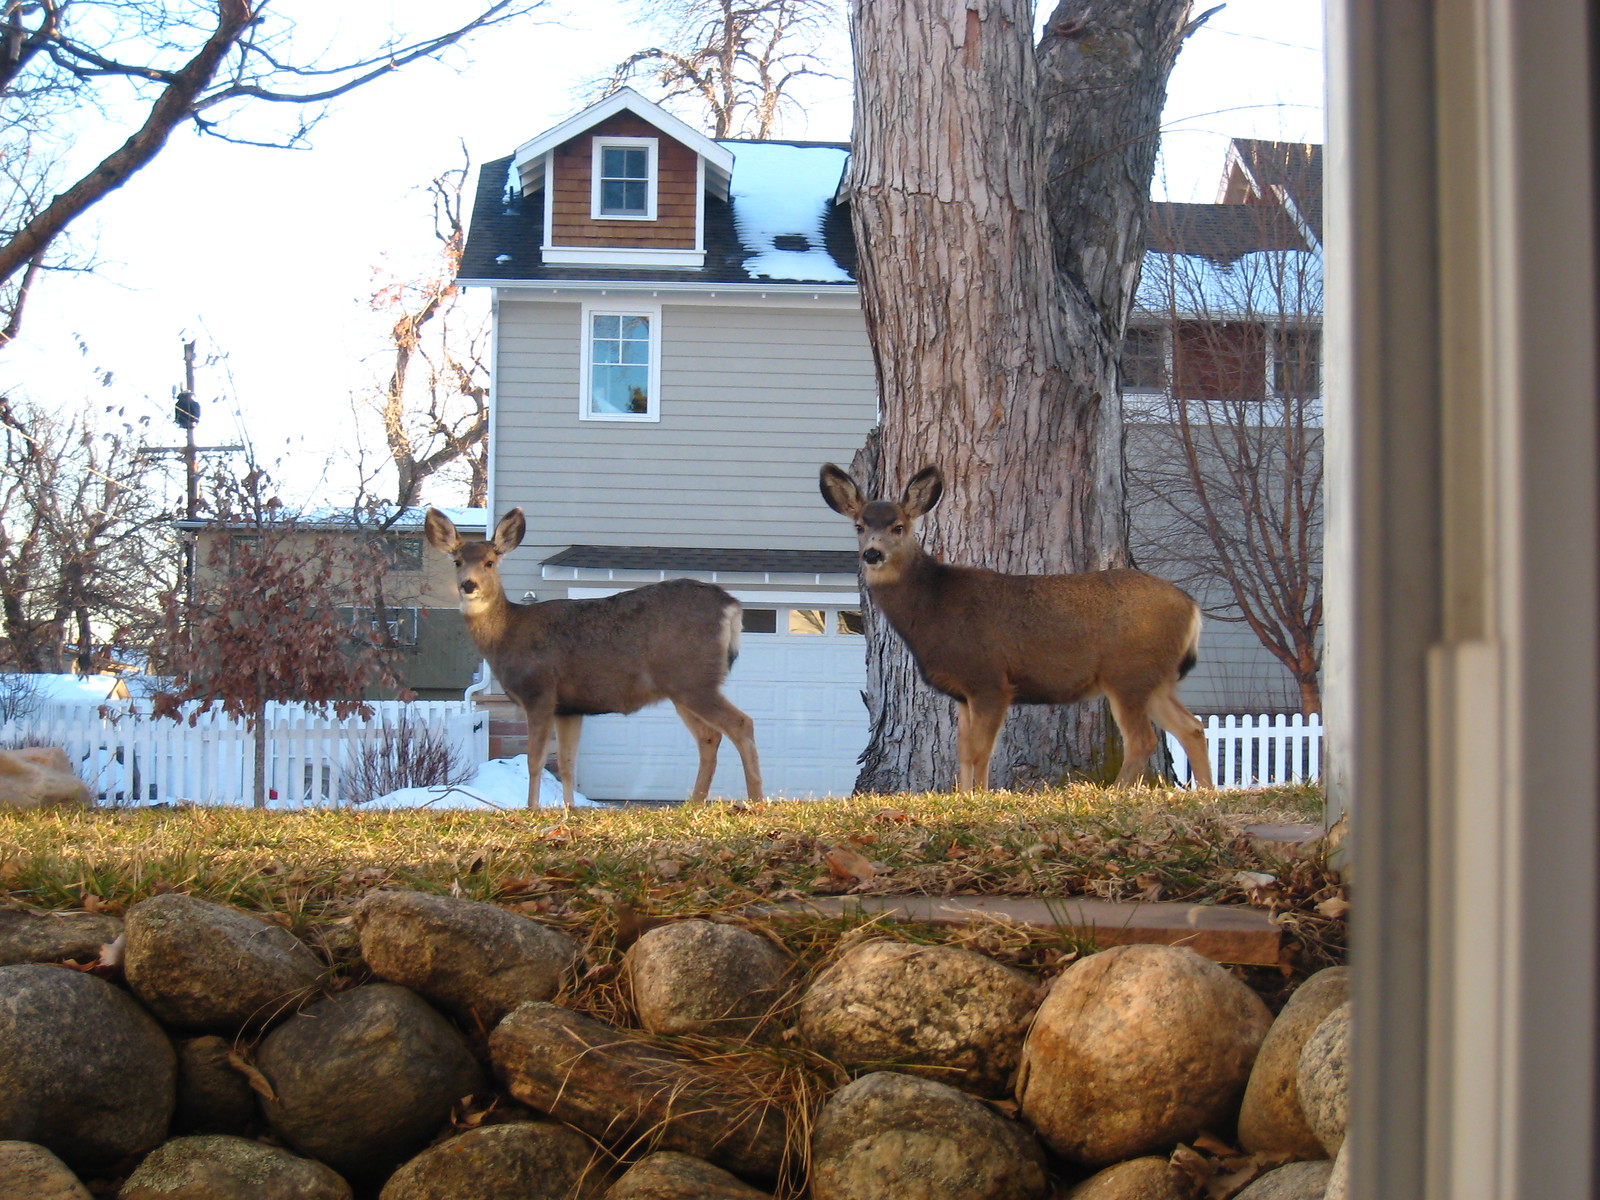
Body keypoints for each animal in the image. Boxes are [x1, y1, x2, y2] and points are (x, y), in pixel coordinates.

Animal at [424, 508, 763, 810]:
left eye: (490, 562)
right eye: (457, 561)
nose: (469, 585)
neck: (508, 633)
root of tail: (731, 605)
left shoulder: (540, 692)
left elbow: (535, 759)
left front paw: (532, 808)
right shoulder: (570, 708)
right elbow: (567, 762)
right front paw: (569, 809)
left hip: (692, 678)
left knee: (741, 724)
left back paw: (756, 800)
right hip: (682, 687)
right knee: (710, 736)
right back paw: (694, 803)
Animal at [819, 463, 1214, 792]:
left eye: (898, 526)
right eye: (859, 526)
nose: (872, 554)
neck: (934, 607)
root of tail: (1193, 607)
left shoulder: (990, 679)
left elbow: (981, 751)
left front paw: (979, 798)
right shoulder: (964, 692)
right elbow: (964, 752)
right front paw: (964, 796)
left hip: (1128, 671)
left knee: (1143, 739)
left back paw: (1118, 793)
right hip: (1154, 677)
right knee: (1192, 727)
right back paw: (1205, 794)